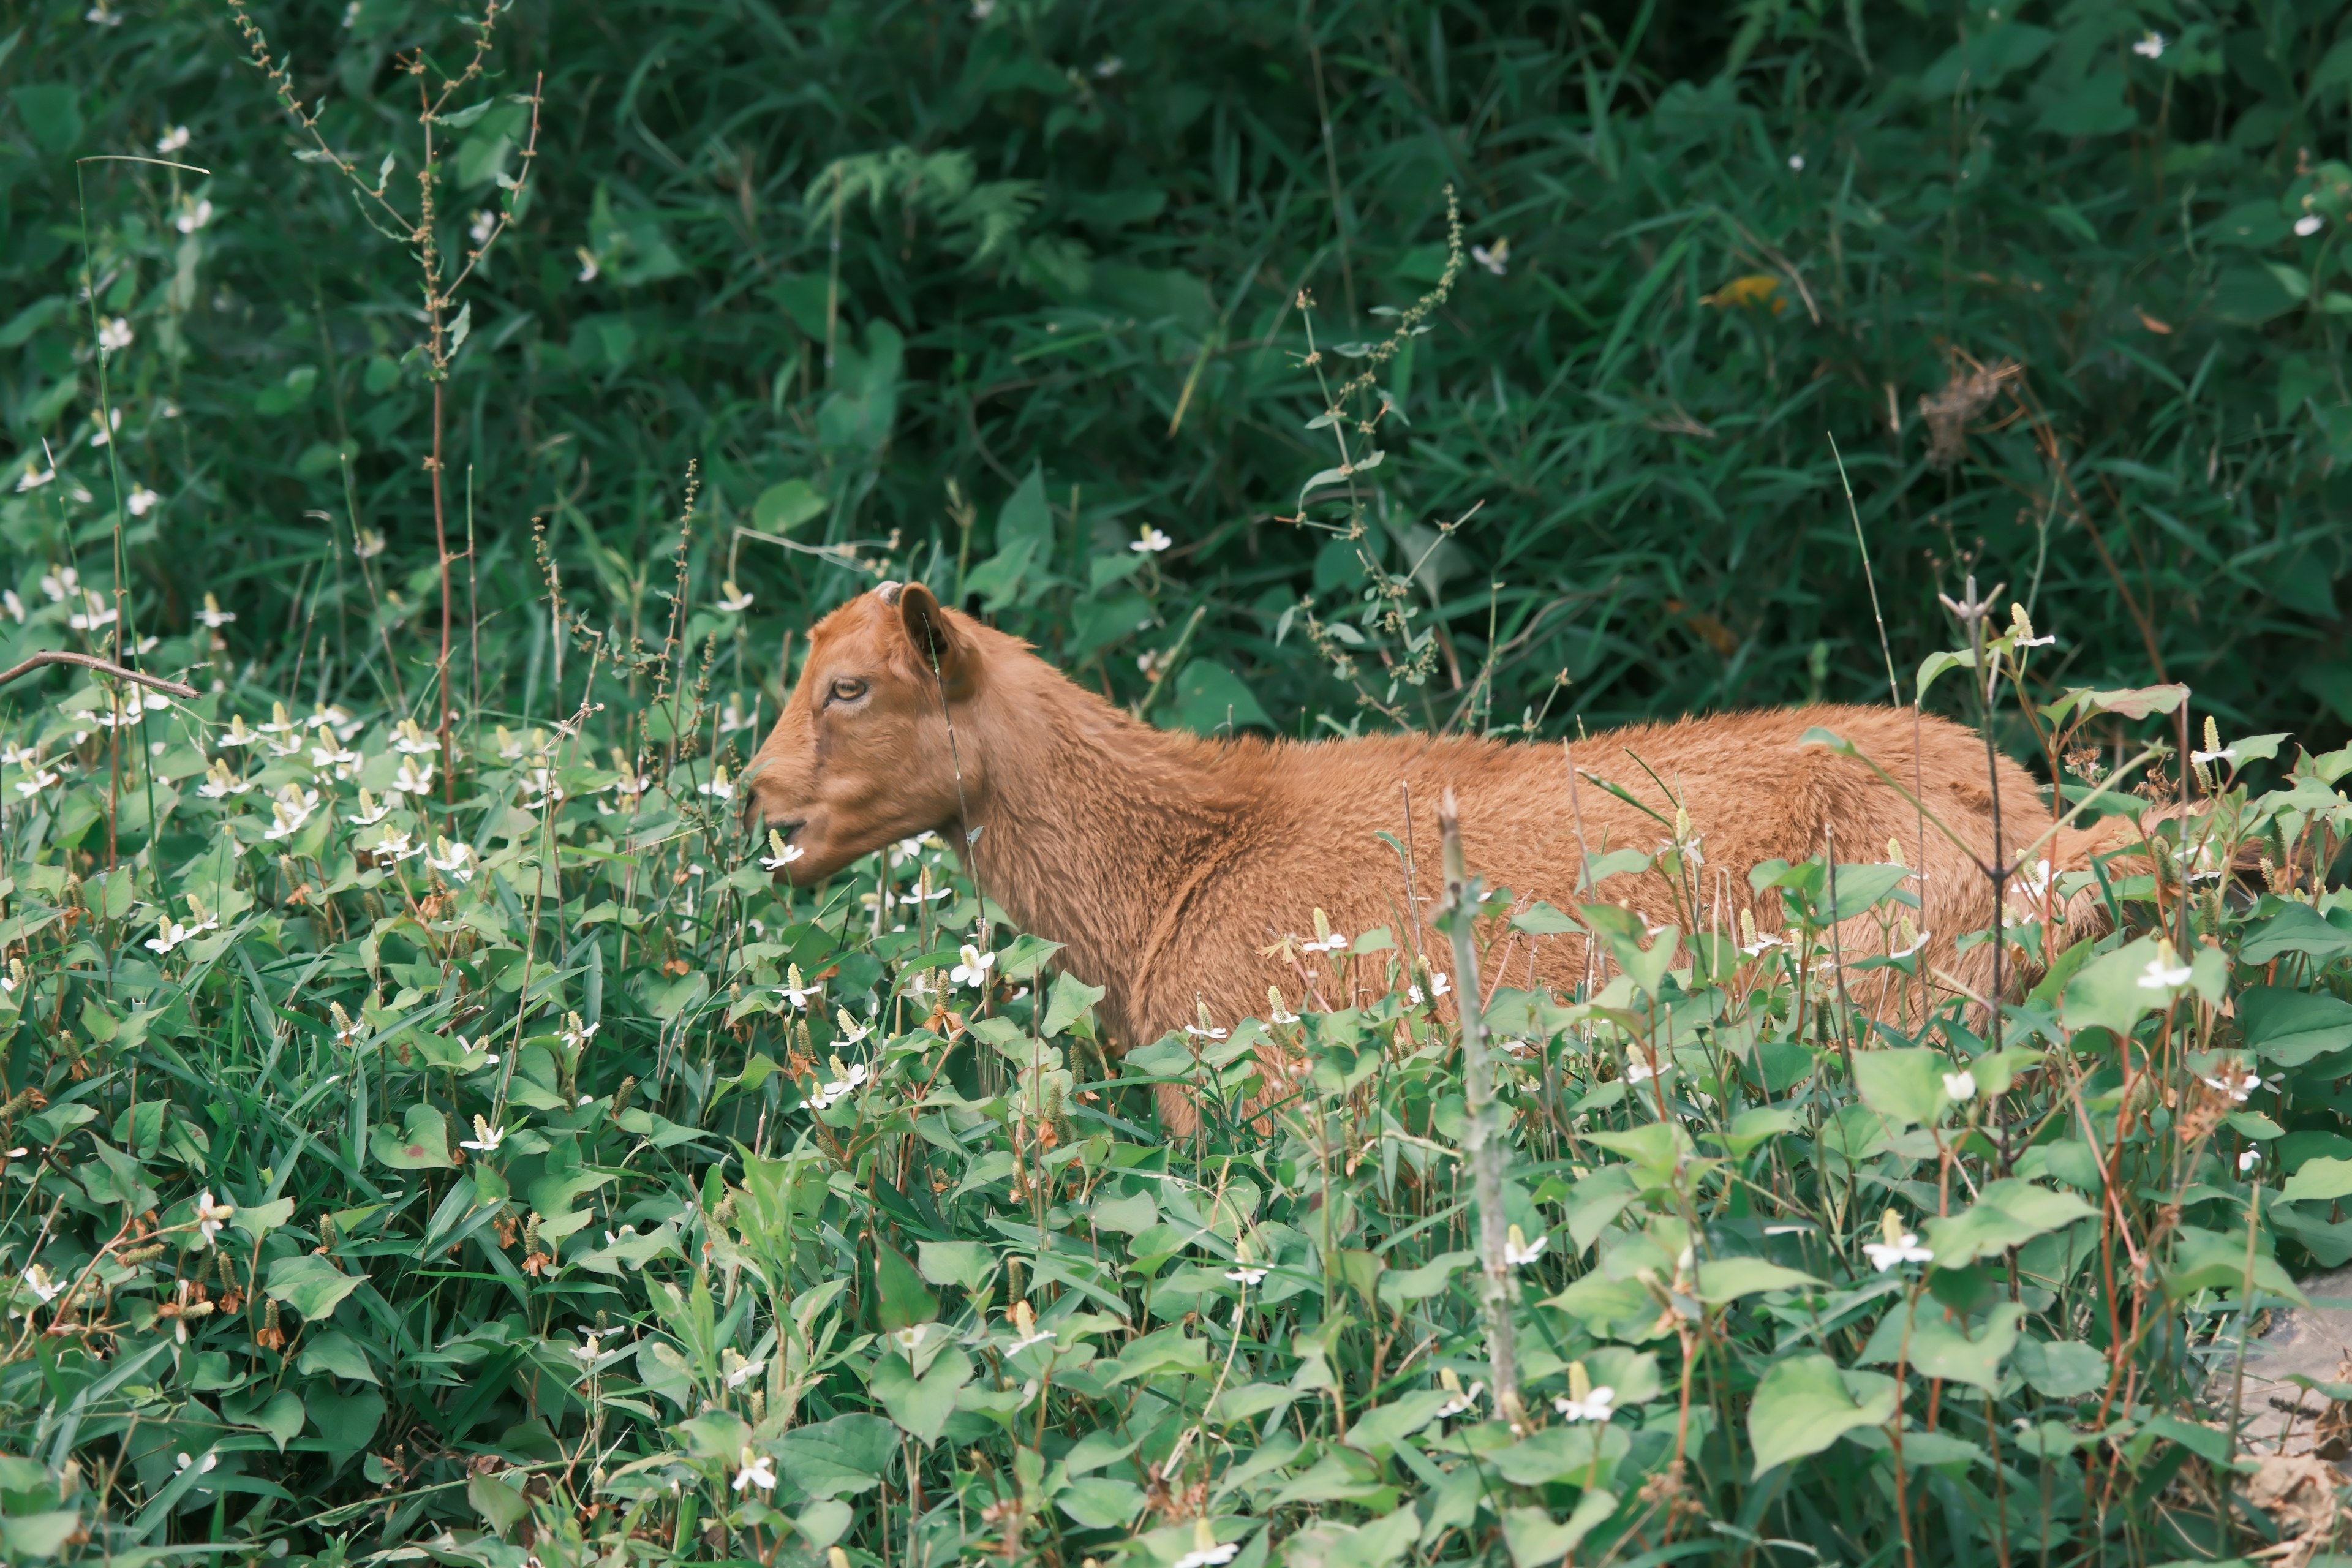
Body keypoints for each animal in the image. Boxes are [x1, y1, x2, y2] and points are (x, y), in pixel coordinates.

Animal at [752, 585, 2135, 1114]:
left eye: (852, 688)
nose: (758, 802)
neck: (1174, 871)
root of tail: (2041, 834)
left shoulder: (1259, 1083)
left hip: (1894, 1016)